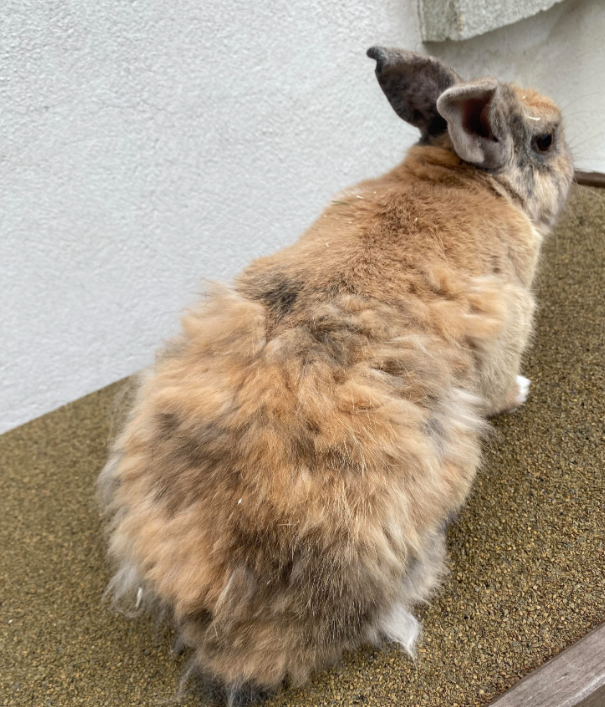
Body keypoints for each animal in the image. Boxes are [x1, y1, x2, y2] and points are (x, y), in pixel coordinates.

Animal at [98, 47, 573, 705]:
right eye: (546, 140)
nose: (576, 165)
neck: (469, 176)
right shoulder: (509, 318)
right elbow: (505, 382)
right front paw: (521, 394)